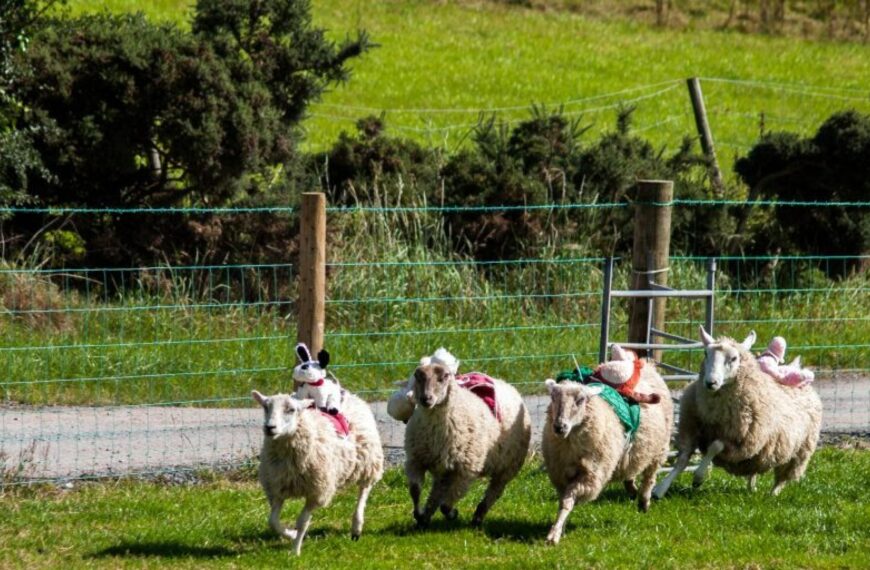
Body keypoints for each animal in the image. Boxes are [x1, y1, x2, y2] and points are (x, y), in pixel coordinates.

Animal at [251, 389, 384, 555]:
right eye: (265, 407)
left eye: (291, 410)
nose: (270, 427)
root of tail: (351, 395)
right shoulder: (277, 489)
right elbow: (272, 522)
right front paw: (292, 534)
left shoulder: (316, 492)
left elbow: (302, 521)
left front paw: (295, 551)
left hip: (368, 462)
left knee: (364, 491)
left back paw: (356, 527)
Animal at [404, 361, 531, 527]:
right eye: (418, 377)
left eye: (444, 377)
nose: (426, 399)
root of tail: (506, 383)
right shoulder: (416, 460)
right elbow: (415, 490)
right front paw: (418, 514)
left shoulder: (466, 469)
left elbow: (446, 505)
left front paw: (452, 514)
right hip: (444, 468)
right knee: (437, 492)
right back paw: (426, 518)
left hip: (508, 467)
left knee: (495, 491)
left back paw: (478, 516)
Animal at [541, 358, 673, 545]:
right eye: (553, 398)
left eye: (580, 400)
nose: (559, 426)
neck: (570, 443)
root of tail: (647, 365)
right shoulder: (560, 475)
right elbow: (564, 502)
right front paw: (561, 528)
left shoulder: (591, 476)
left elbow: (567, 501)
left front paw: (554, 534)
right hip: (634, 452)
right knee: (630, 470)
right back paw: (632, 489)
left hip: (659, 449)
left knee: (649, 477)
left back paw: (643, 501)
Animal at [653, 327, 822, 499]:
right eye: (706, 353)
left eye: (734, 358)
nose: (710, 382)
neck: (713, 413)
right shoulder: (691, 428)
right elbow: (682, 461)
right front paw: (660, 489)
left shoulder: (737, 439)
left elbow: (715, 446)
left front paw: (698, 478)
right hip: (761, 449)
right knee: (755, 468)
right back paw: (751, 488)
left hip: (799, 452)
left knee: (783, 477)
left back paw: (772, 495)